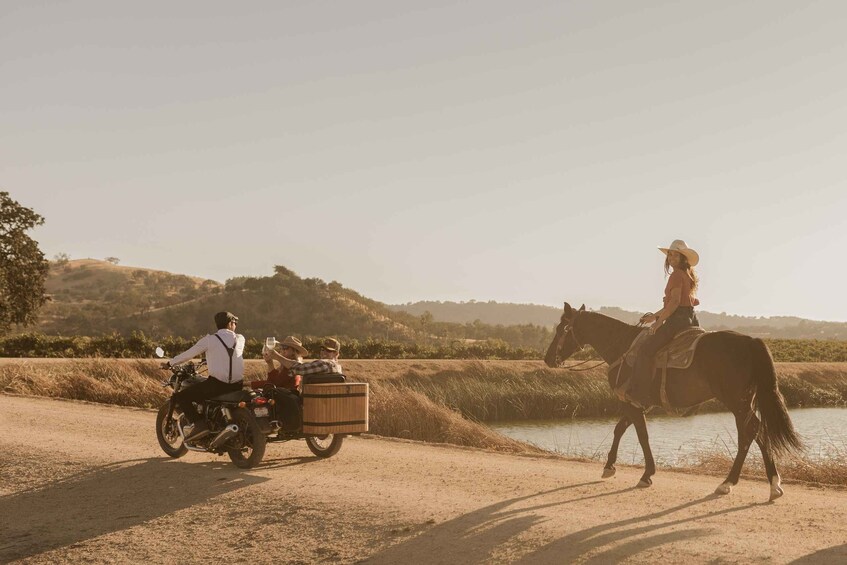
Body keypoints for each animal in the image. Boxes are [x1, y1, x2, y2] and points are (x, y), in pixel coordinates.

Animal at [544, 302, 800, 500]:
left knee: (750, 431)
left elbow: (641, 435)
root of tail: (751, 341)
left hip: (736, 401)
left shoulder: (633, 403)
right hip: (744, 401)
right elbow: (620, 429)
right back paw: (773, 484)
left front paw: (646, 474)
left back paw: (729, 482)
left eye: (561, 328)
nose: (548, 358)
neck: (623, 347)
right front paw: (609, 467)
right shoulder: (636, 403)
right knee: (756, 433)